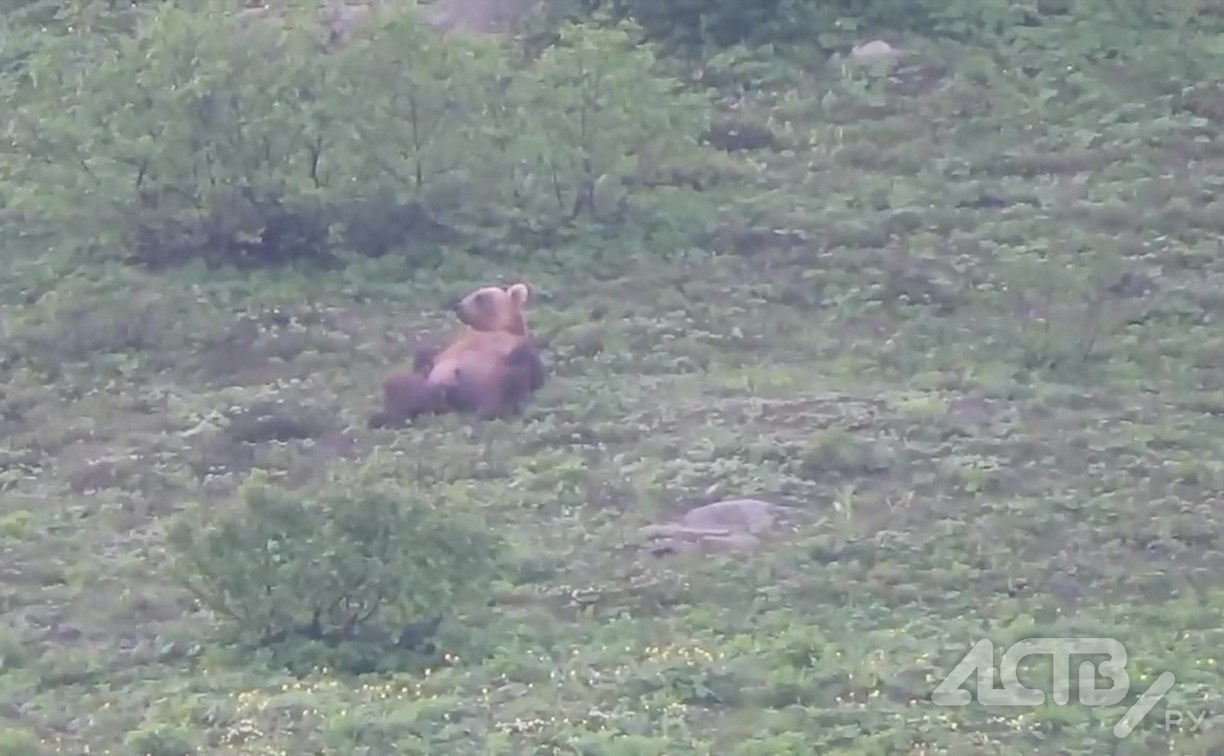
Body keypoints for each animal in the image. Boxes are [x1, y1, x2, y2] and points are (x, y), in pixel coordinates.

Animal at [367, 283, 546, 429]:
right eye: (472, 293)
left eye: (480, 296)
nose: (458, 306)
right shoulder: (449, 349)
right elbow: (426, 357)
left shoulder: (514, 349)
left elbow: (528, 371)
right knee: (398, 385)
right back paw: (383, 416)